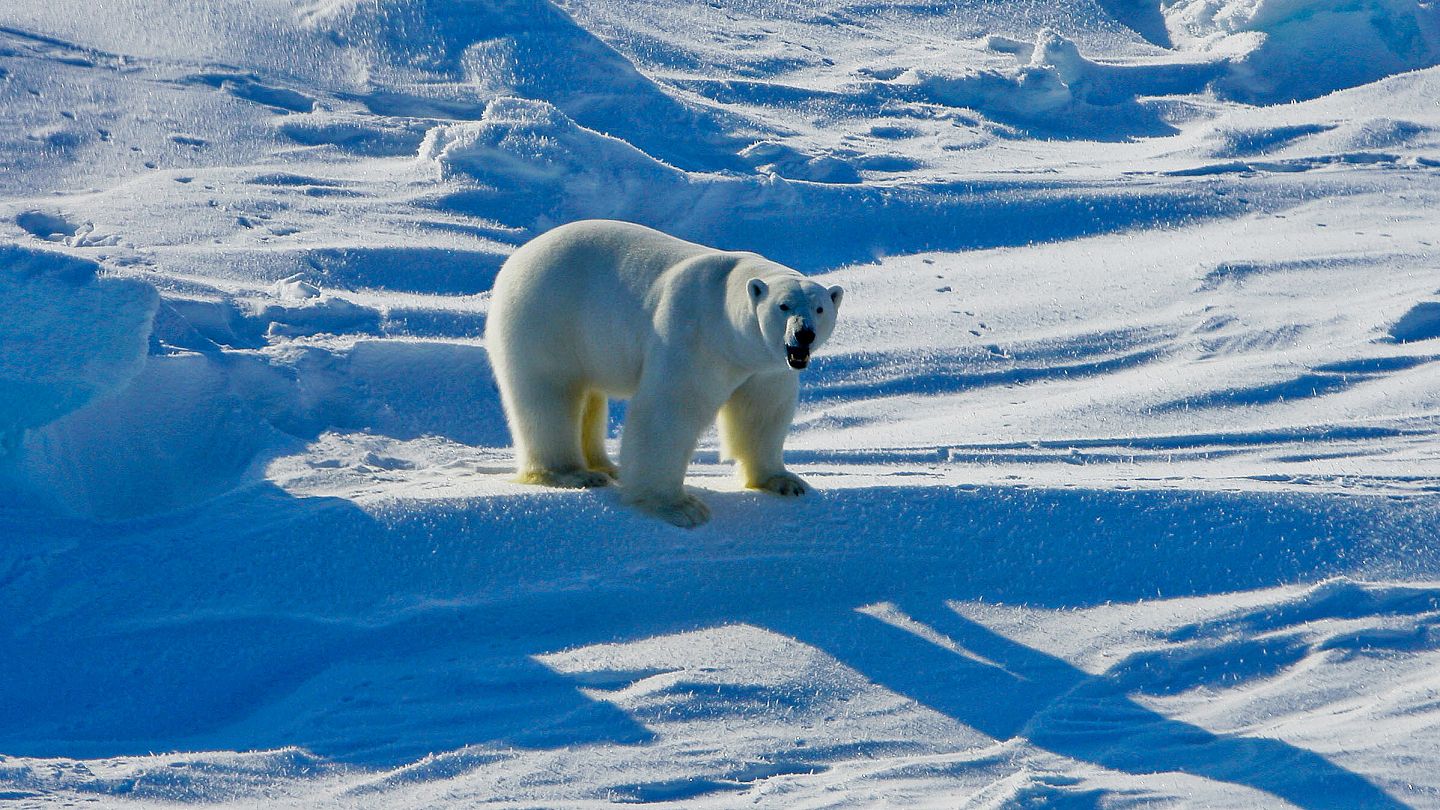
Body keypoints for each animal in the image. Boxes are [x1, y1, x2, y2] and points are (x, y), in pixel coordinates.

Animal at [486, 217, 840, 527]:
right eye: (784, 306)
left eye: (820, 308)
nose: (804, 334)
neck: (725, 318)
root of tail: (519, 256)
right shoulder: (693, 338)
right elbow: (669, 412)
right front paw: (680, 507)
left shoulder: (766, 366)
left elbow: (762, 413)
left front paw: (785, 481)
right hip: (548, 315)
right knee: (549, 394)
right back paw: (573, 473)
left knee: (589, 397)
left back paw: (606, 466)